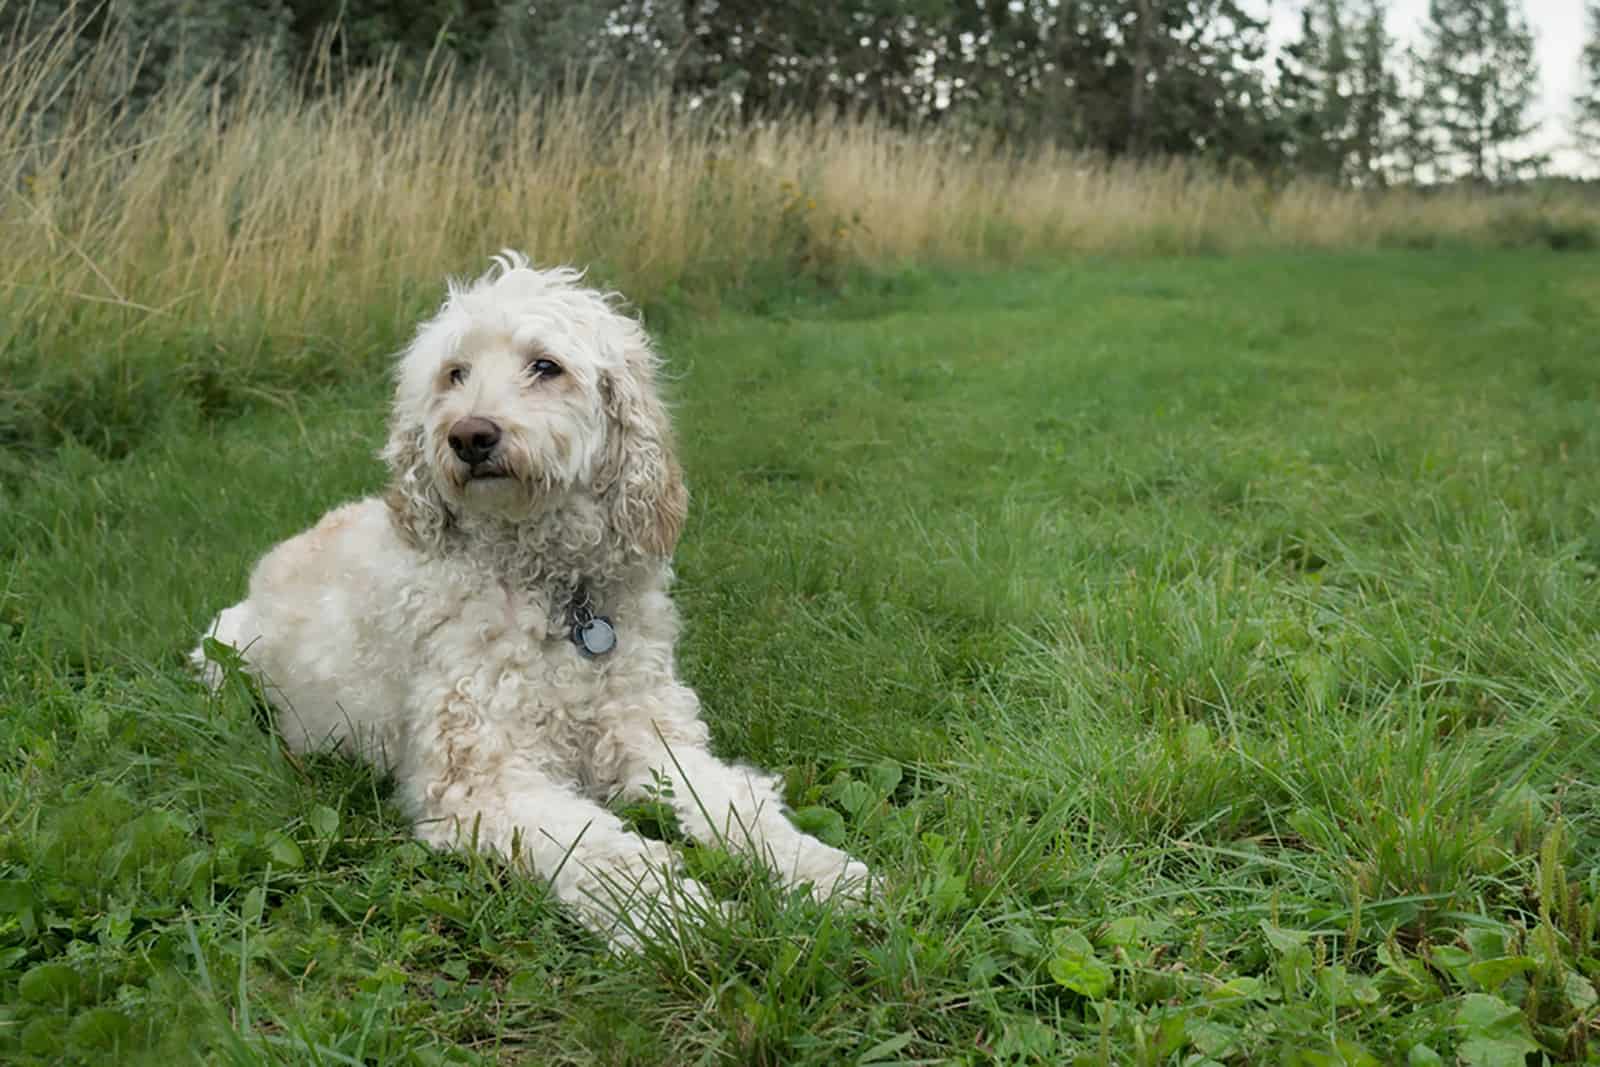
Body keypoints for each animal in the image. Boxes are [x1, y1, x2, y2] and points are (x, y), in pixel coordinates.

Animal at [200, 254, 876, 947]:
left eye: (545, 366)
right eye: (455, 373)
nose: (469, 436)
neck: (555, 592)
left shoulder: (652, 737)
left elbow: (735, 801)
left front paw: (822, 871)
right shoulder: (481, 779)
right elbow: (605, 848)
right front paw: (680, 918)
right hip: (222, 654)